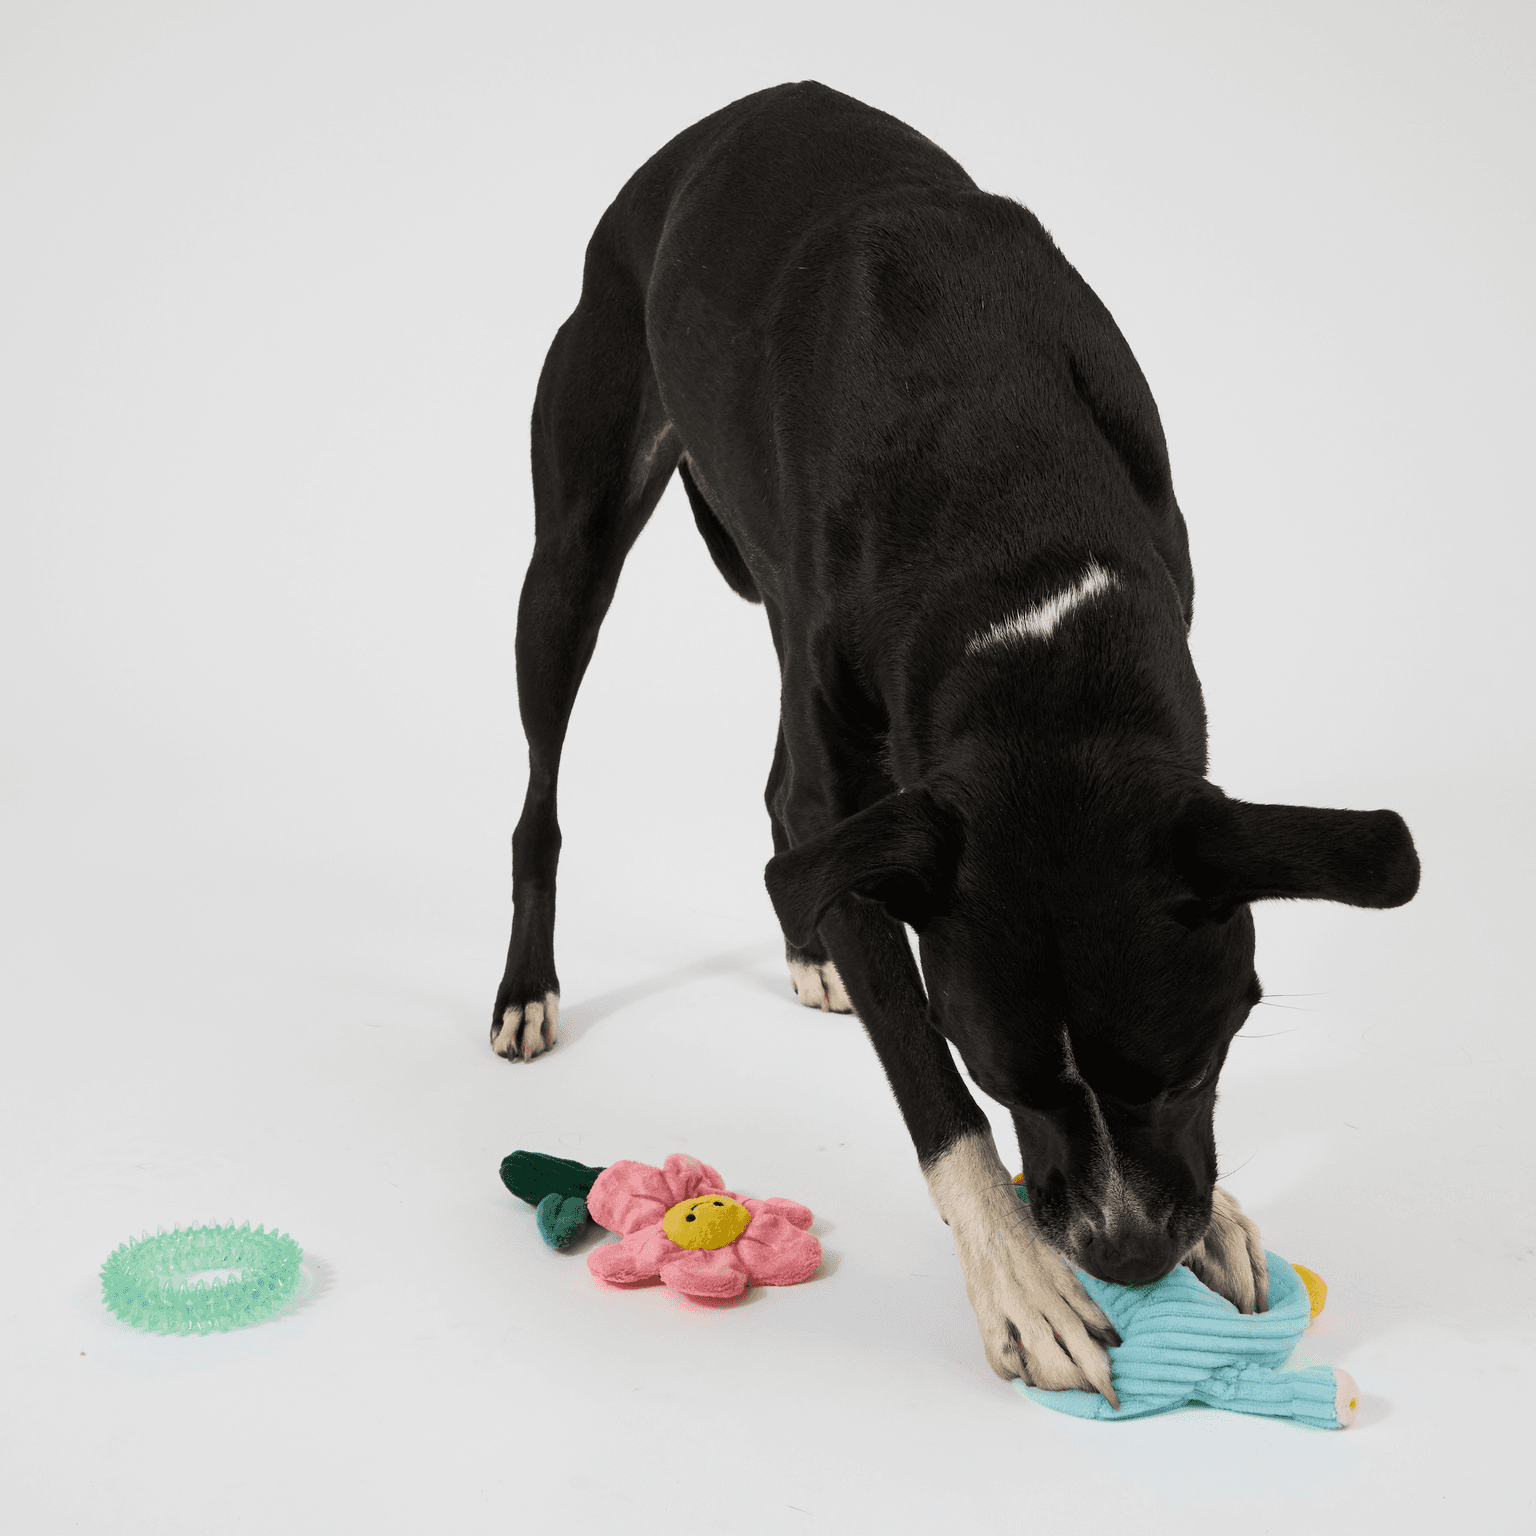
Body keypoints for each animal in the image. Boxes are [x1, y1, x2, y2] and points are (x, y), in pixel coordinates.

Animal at [491, 83, 1420, 1402]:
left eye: (1192, 1068)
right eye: (1002, 1078)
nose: (1127, 1256)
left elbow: (826, 856)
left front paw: (1220, 1219)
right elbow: (920, 1072)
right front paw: (1024, 1280)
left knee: (784, 809)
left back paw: (811, 944)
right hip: (572, 544)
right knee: (547, 790)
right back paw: (532, 984)